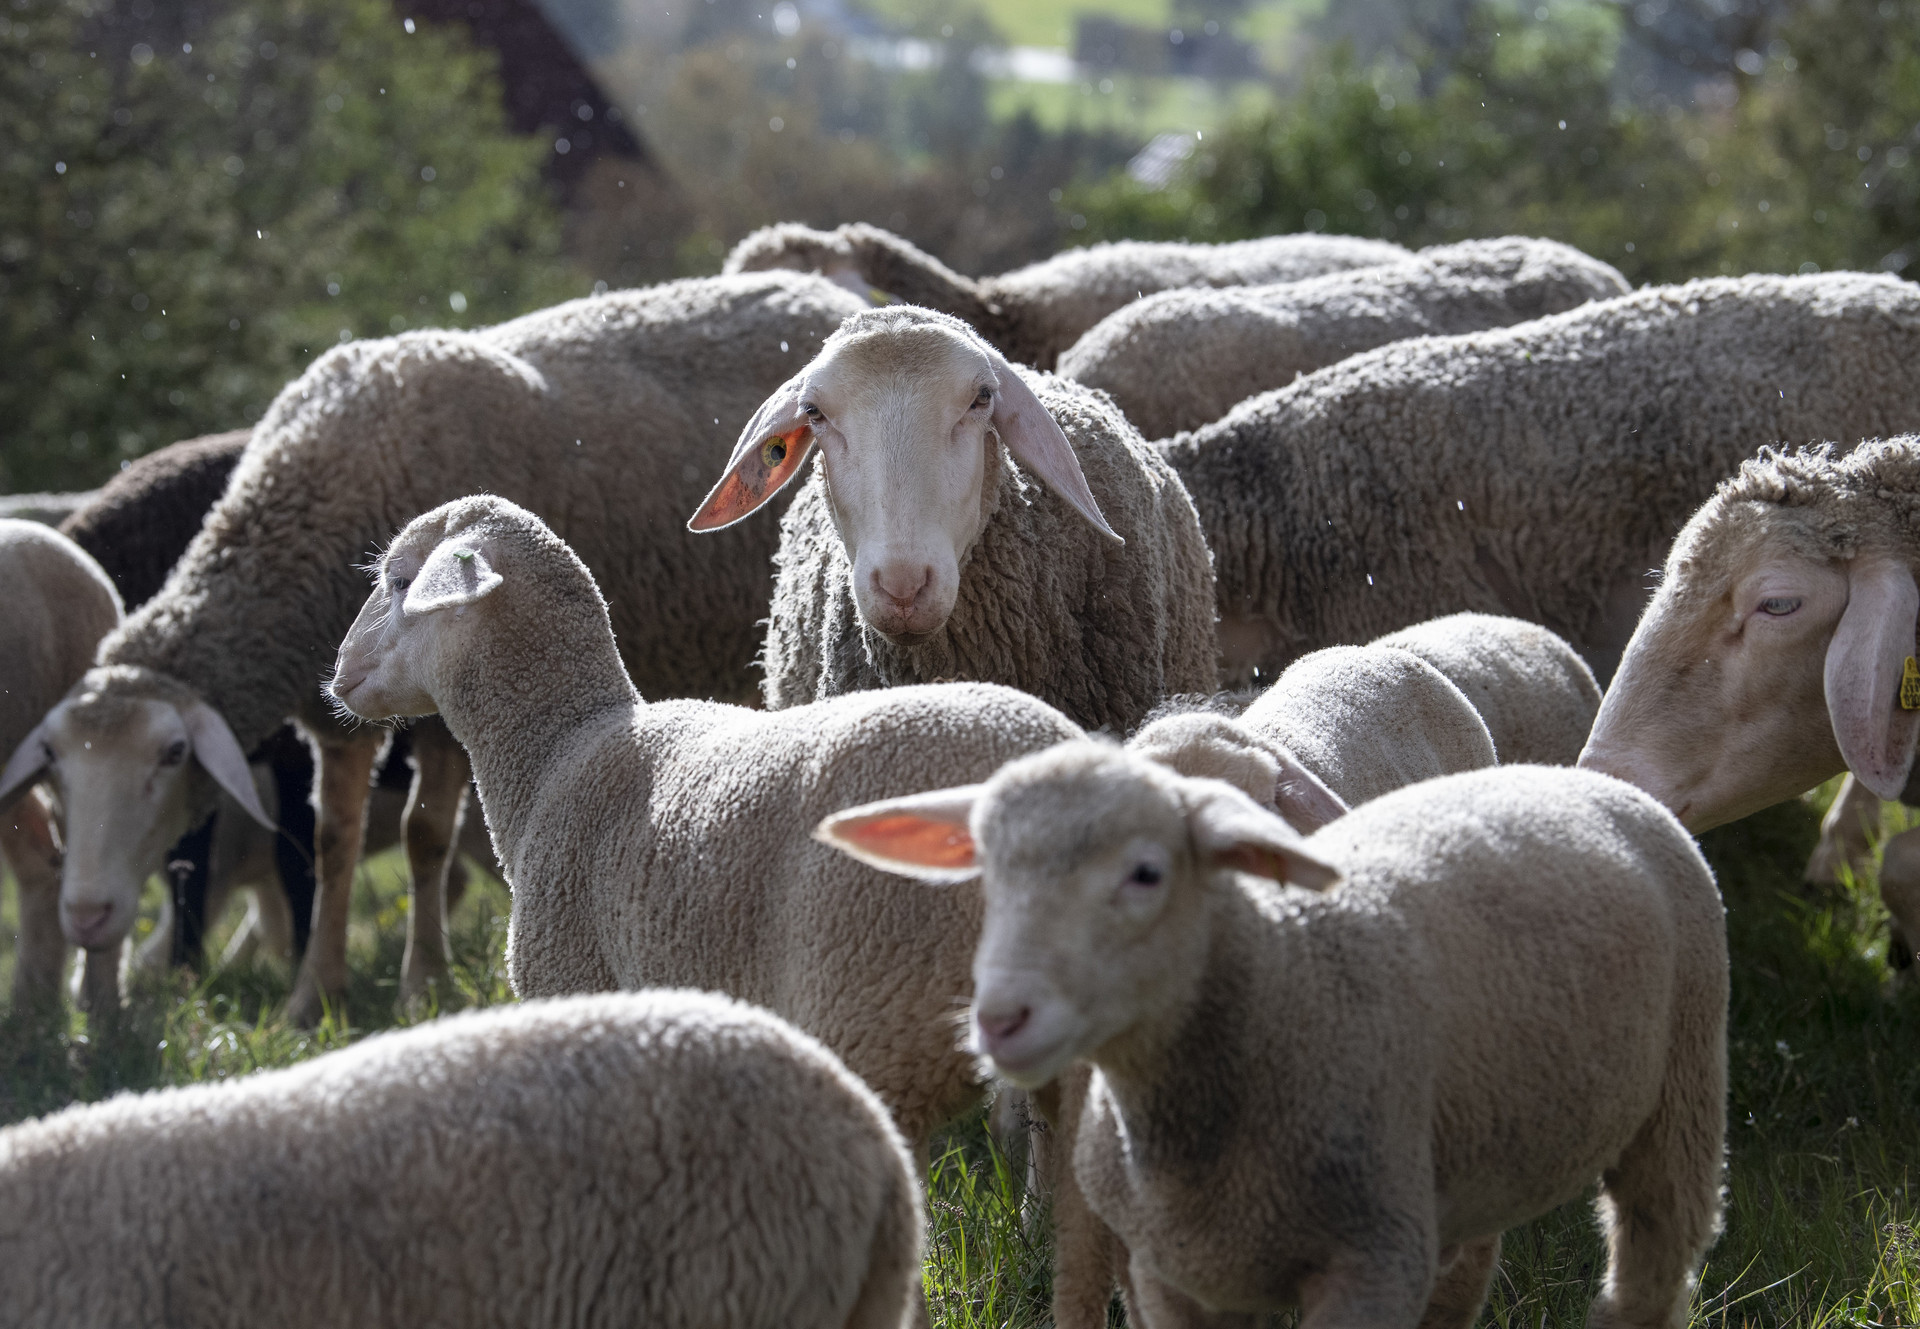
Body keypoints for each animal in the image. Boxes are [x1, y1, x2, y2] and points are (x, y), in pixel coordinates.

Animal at [0, 271, 868, 1025]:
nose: (88, 915)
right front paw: (313, 993)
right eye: (55, 768)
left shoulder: (443, 718)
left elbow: (423, 839)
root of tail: (820, 287)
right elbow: (330, 842)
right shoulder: (332, 728)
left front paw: (423, 984)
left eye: (170, 755)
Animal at [821, 751, 1727, 1329]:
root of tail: (1572, 774)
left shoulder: (1369, 1264)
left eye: (1146, 873)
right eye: (988, 869)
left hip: (1683, 1090)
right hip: (1471, 1138)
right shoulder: (1171, 1277)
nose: (1001, 1017)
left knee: (1649, 1272)